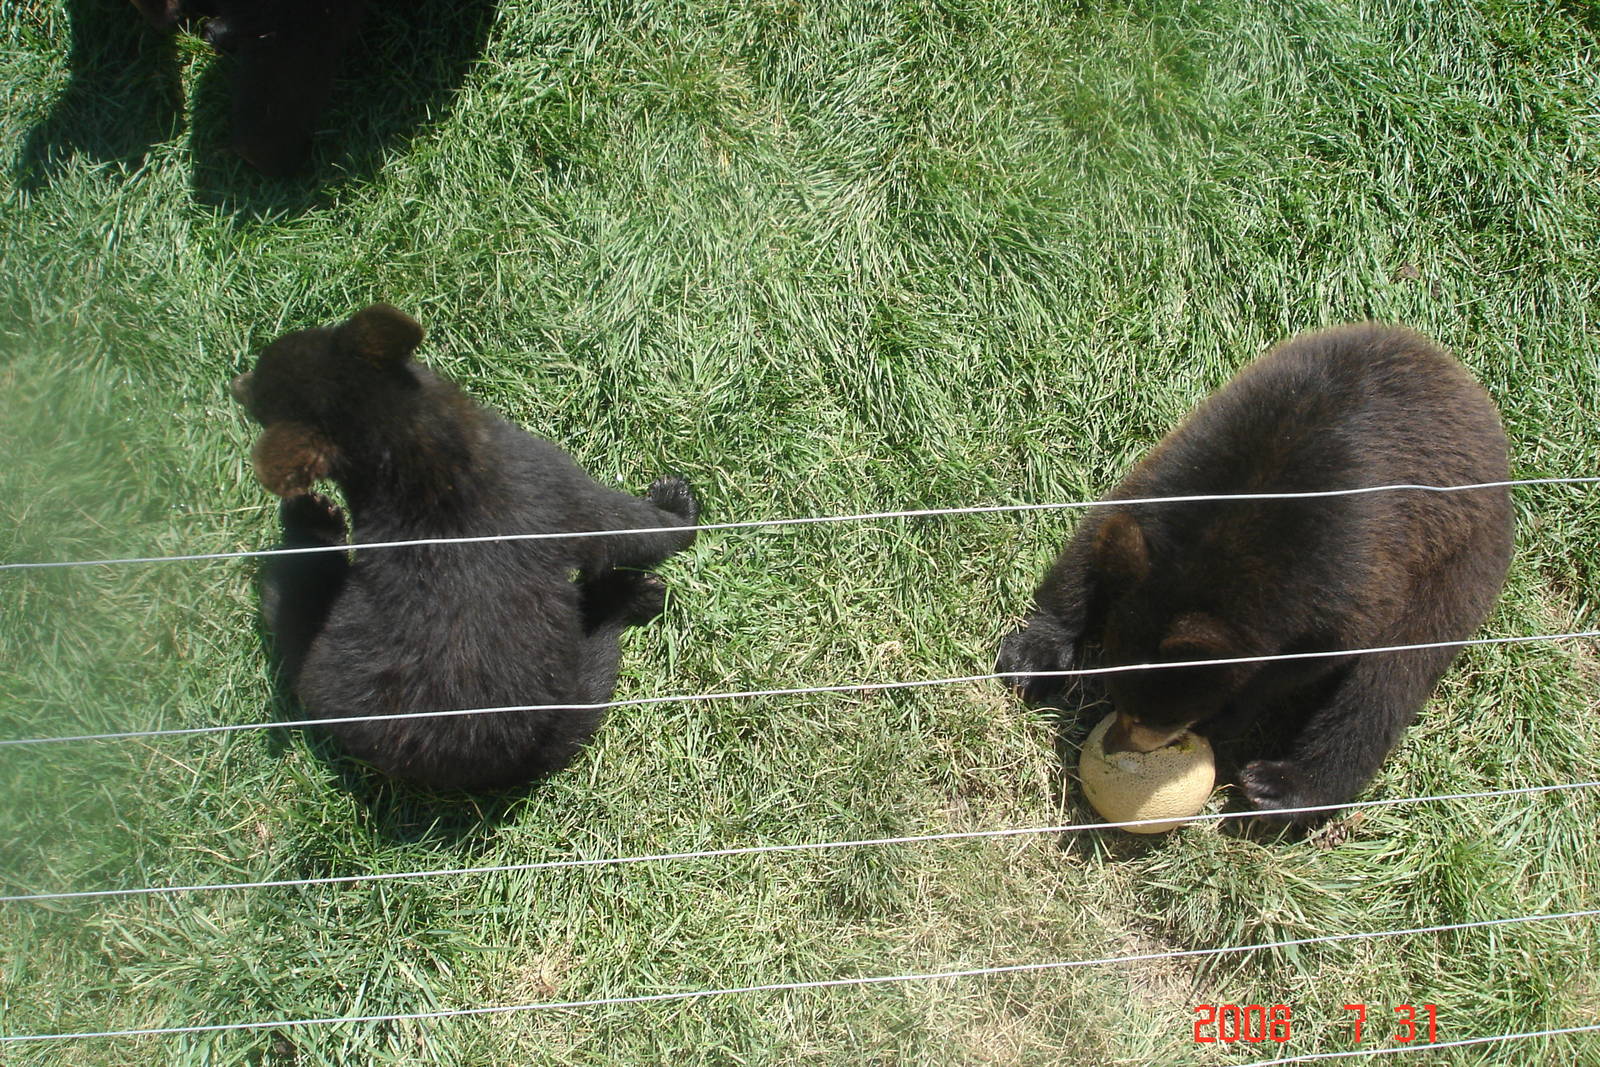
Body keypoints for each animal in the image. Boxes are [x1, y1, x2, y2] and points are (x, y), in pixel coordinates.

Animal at [996, 323, 1514, 826]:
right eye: (1125, 701)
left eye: (1150, 716)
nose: (1116, 746)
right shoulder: (1175, 474)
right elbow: (1097, 538)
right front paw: (1032, 659)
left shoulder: (1355, 568)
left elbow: (1318, 658)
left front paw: (1228, 715)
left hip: (1461, 556)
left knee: (1392, 678)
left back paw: (1281, 788)